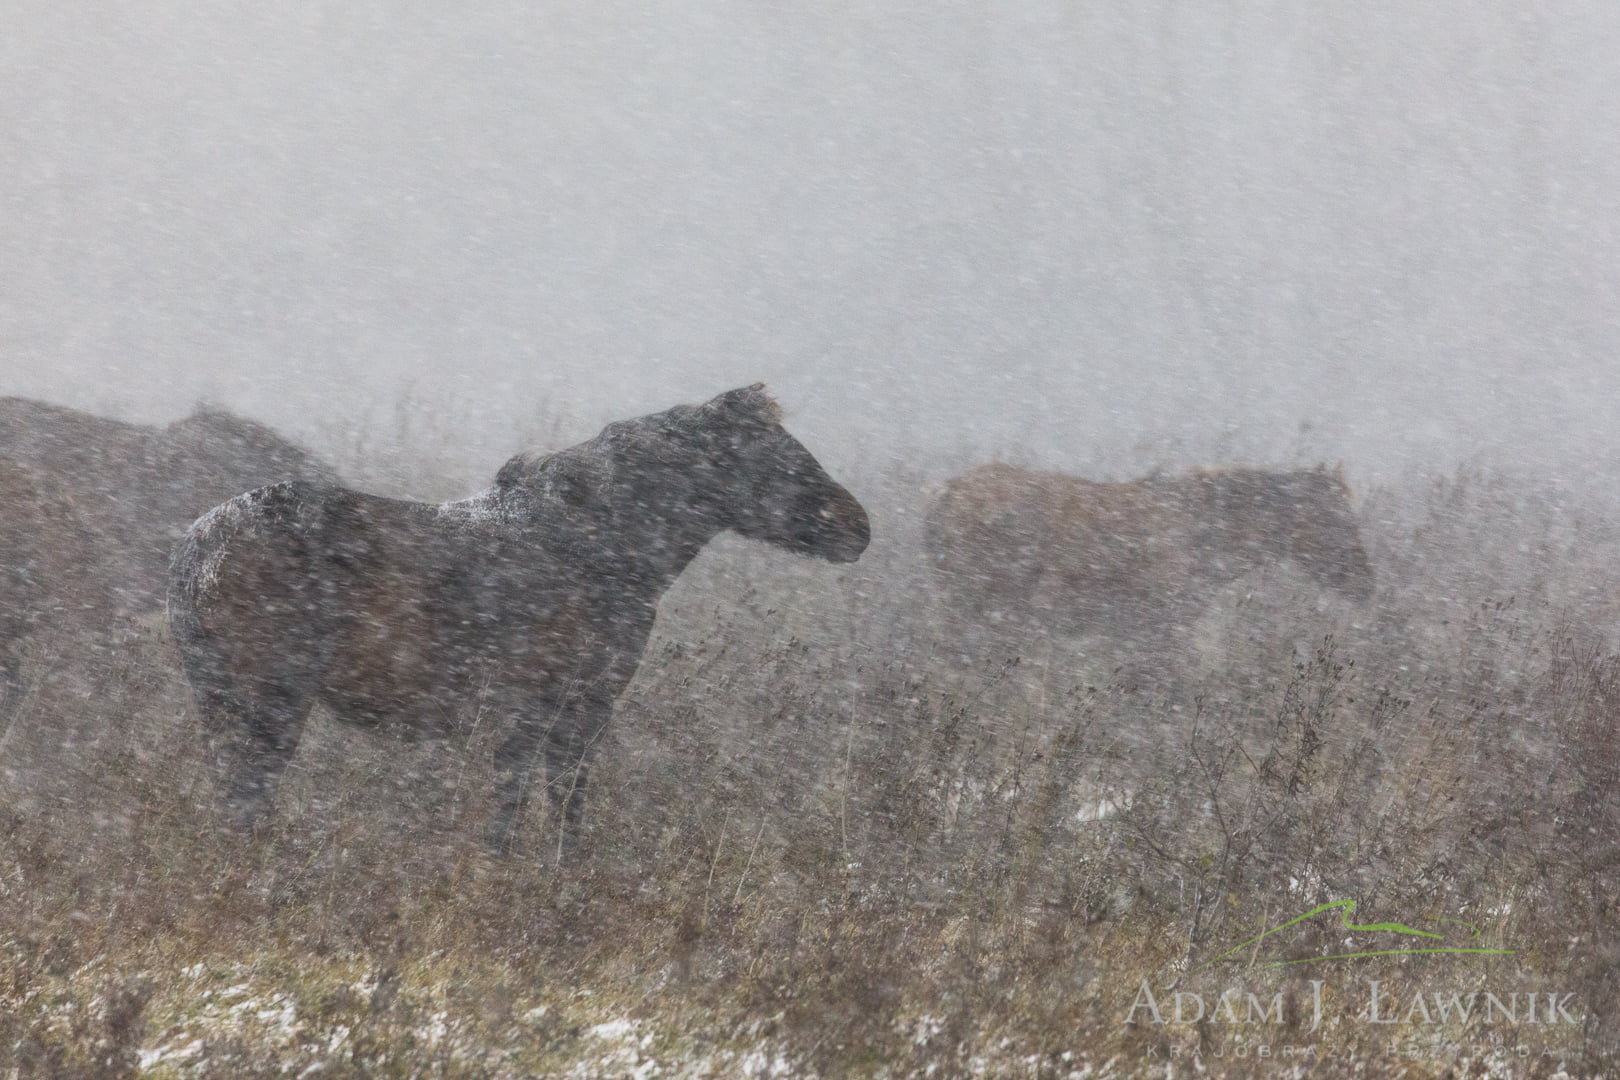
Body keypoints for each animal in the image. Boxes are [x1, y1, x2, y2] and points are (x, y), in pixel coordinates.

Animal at [167, 388, 874, 854]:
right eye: (772, 456)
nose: (857, 525)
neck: (604, 544)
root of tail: (196, 548)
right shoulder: (559, 707)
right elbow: (536, 803)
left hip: (222, 700)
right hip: (273, 701)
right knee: (246, 797)